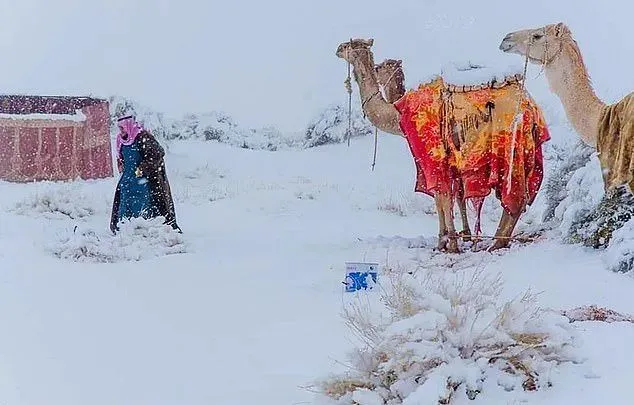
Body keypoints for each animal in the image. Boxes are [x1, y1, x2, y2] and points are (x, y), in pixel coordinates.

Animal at [336, 38, 548, 252]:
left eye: (348, 46)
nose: (337, 49)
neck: (397, 114)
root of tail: (531, 107)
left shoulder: (432, 154)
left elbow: (441, 197)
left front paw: (447, 242)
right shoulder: (452, 161)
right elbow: (455, 196)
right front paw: (462, 236)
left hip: (511, 143)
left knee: (515, 197)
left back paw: (496, 243)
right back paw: (497, 241)